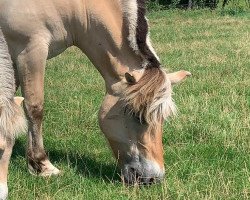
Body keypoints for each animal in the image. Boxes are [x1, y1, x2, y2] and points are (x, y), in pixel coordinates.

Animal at [0, 0, 191, 198]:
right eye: (137, 116)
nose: (153, 178)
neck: (72, 6)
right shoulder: (29, 50)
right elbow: (34, 108)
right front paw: (42, 165)